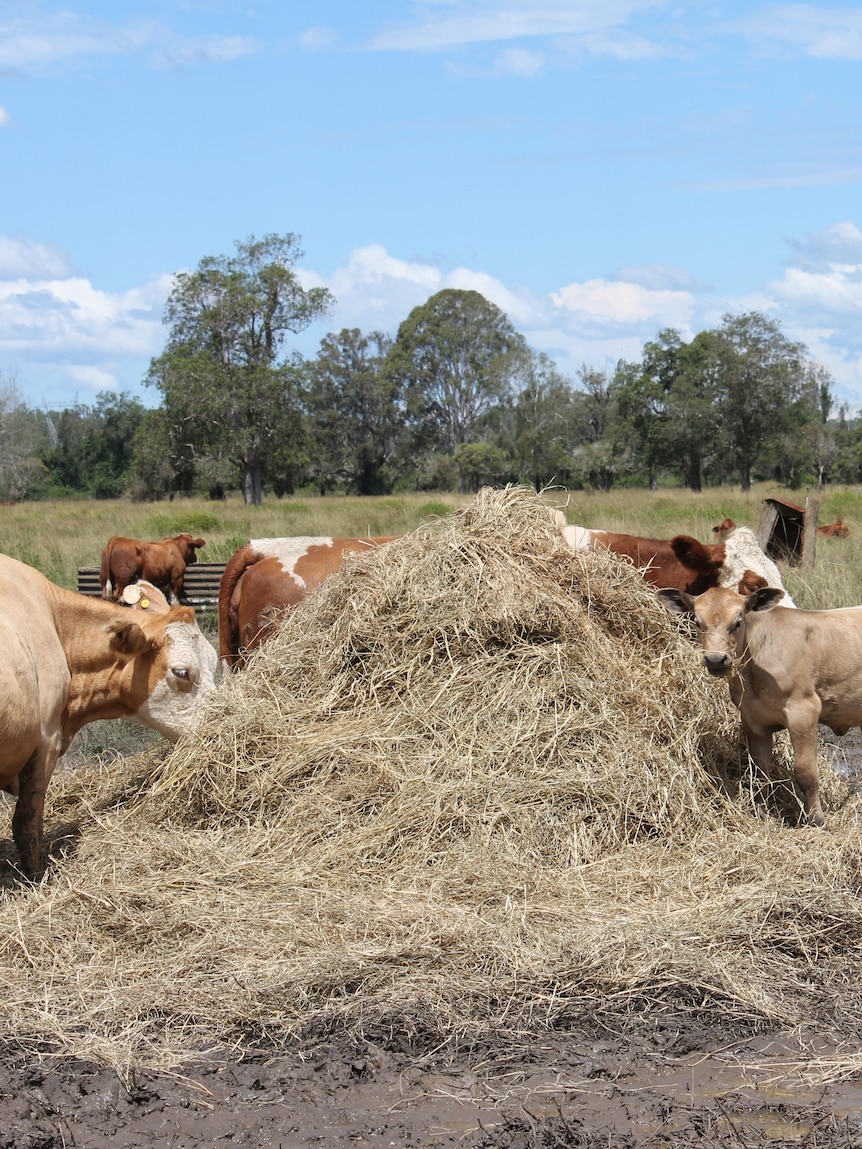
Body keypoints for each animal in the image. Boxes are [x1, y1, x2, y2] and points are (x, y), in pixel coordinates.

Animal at [657, 583, 859, 827]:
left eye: (738, 622)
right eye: (697, 621)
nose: (715, 660)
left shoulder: (804, 710)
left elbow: (806, 773)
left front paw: (817, 819)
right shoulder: (753, 720)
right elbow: (760, 771)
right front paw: (761, 812)